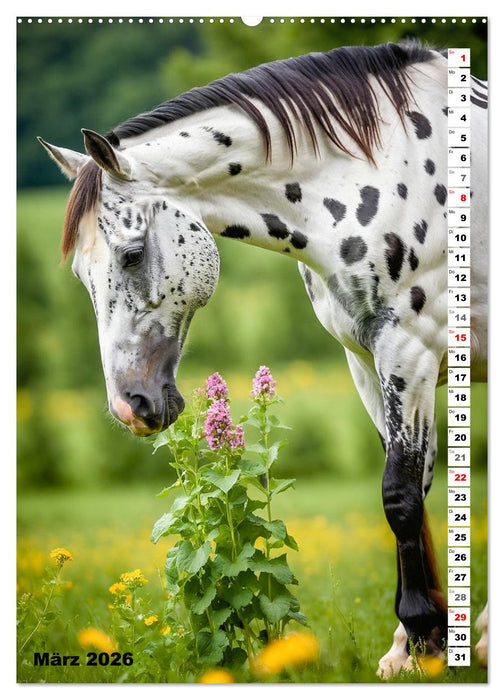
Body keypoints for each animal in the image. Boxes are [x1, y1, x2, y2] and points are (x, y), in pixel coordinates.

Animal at [38, 41, 488, 677]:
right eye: (81, 273)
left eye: (131, 255)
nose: (130, 406)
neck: (382, 170)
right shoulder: (367, 361)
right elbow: (417, 488)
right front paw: (414, 647)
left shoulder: (411, 351)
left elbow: (399, 496)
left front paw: (425, 635)